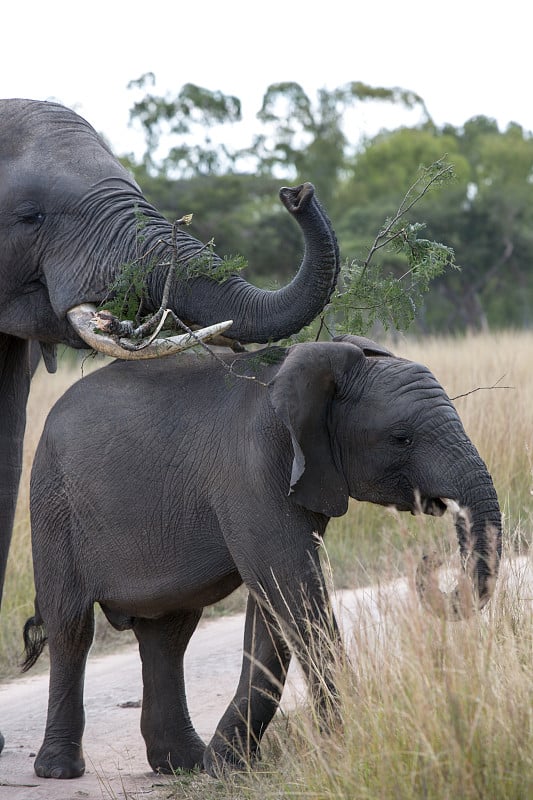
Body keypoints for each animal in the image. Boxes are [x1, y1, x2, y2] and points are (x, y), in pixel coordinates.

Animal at [21, 334, 498, 780]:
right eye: (402, 439)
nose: (430, 561)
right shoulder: (255, 472)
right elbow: (295, 590)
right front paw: (349, 744)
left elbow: (274, 610)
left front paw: (228, 766)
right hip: (52, 503)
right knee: (71, 628)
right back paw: (59, 770)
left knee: (168, 633)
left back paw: (182, 765)